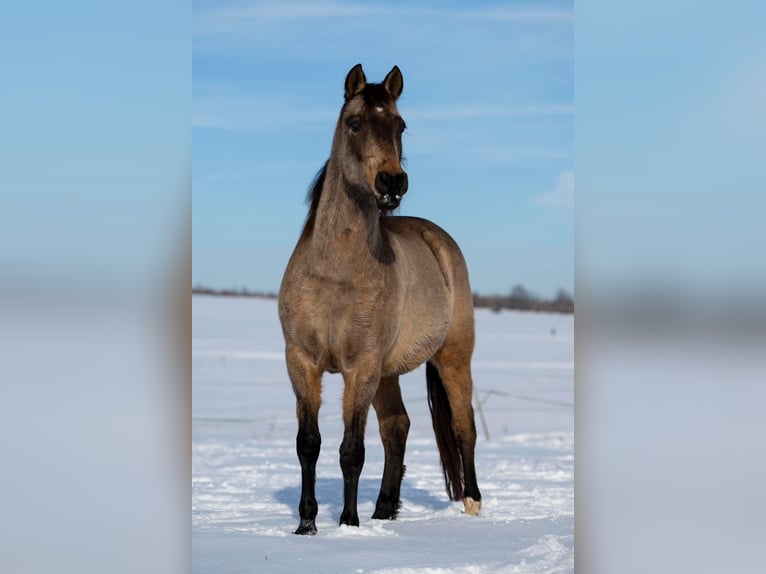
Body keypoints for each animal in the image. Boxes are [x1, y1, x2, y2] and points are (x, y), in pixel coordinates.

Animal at [278, 64, 482, 535]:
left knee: (463, 427)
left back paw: (473, 504)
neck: (335, 272)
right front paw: (306, 524)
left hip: (451, 357)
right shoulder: (301, 361)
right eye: (354, 124)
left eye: (399, 125)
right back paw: (385, 509)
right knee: (397, 427)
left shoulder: (361, 366)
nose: (392, 182)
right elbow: (308, 444)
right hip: (388, 373)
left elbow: (352, 450)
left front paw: (349, 524)